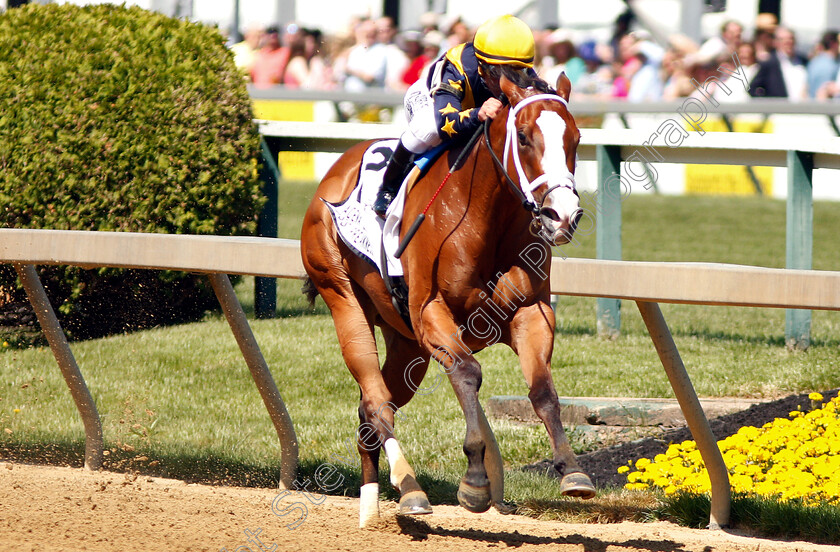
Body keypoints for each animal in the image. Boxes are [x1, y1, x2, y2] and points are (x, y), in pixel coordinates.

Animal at [298, 71, 592, 528]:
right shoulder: (431, 313)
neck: (486, 218)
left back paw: (371, 504)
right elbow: (468, 372)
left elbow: (543, 390)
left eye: (576, 138)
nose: (562, 216)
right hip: (342, 296)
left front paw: (572, 470)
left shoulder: (531, 313)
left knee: (370, 411)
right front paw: (475, 481)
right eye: (525, 137)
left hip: (407, 347)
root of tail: (336, 171)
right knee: (377, 403)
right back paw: (410, 489)